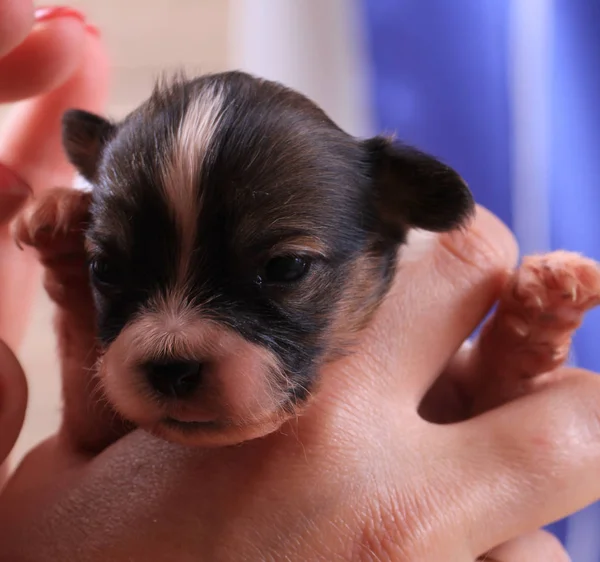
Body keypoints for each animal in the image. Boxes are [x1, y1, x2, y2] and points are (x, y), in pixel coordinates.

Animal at [11, 70, 600, 448]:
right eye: (104, 269)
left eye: (284, 268)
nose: (171, 365)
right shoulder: (89, 430)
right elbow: (81, 356)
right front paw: (59, 221)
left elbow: (499, 386)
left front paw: (543, 303)